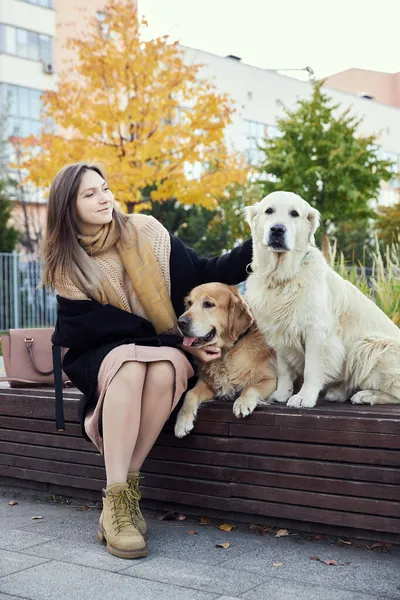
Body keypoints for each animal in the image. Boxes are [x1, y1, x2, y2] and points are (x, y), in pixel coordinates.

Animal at [173, 284, 276, 438]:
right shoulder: (207, 382)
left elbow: (251, 387)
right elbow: (189, 393)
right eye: (190, 303)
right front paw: (182, 421)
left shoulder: (271, 379)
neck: (227, 352)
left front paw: (242, 402)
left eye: (208, 304)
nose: (180, 322)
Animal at [245, 192, 400, 408]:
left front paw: (304, 397)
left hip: (369, 347)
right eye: (269, 211)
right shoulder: (279, 331)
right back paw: (339, 392)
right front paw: (282, 394)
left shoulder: (316, 331)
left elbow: (311, 369)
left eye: (294, 213)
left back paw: (366, 395)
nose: (277, 229)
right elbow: (284, 369)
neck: (284, 278)